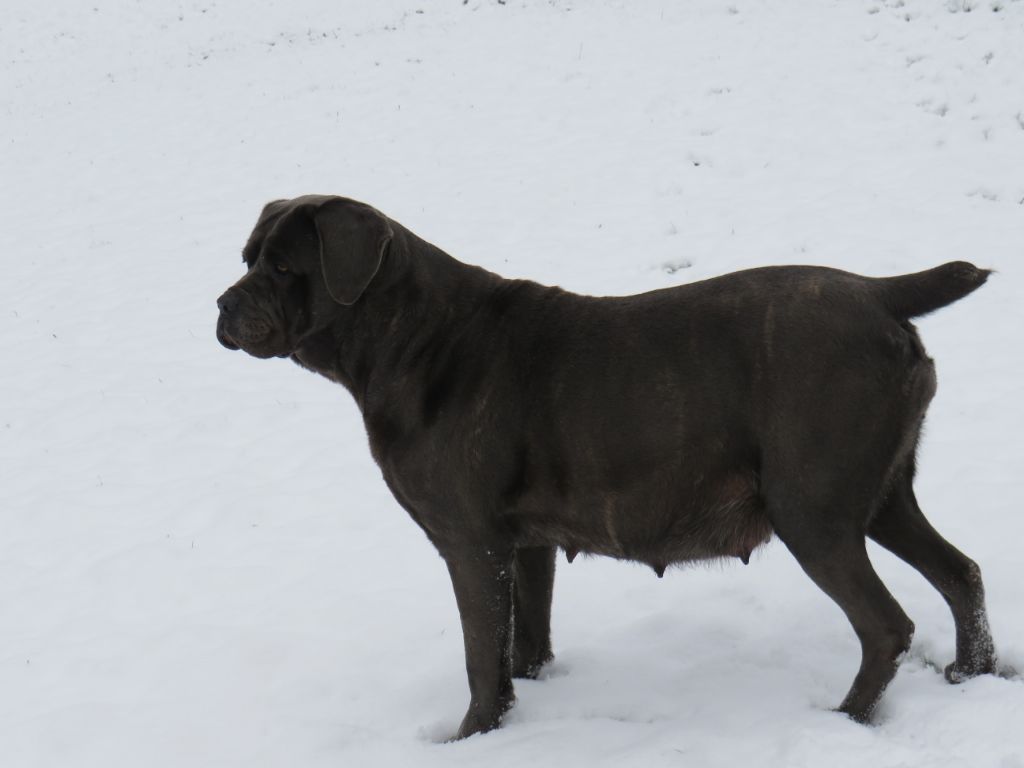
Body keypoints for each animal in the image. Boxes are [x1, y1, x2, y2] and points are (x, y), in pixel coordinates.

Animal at [214, 193, 991, 741]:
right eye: (247, 257)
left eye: (282, 267)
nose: (221, 303)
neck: (410, 337)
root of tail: (878, 291)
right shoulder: (524, 545)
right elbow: (521, 641)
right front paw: (525, 703)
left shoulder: (471, 544)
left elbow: (479, 656)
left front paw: (471, 736)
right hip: (882, 497)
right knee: (961, 573)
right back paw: (974, 673)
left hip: (813, 511)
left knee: (885, 625)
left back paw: (846, 720)